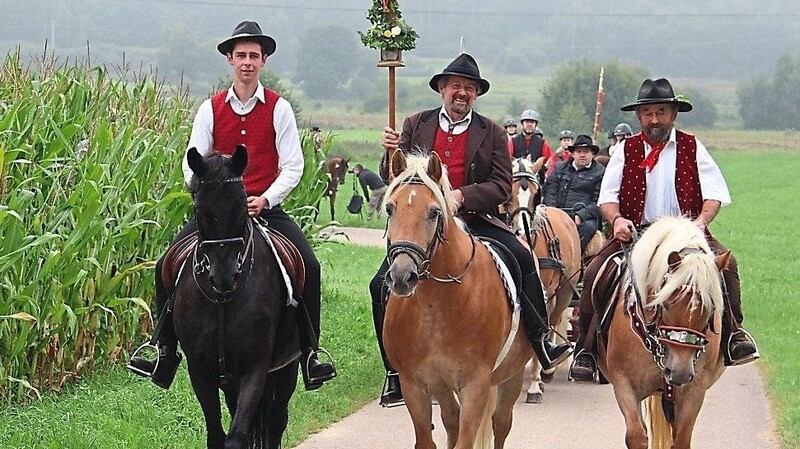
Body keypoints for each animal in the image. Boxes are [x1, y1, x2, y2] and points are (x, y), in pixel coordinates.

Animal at [175, 144, 300, 448]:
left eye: (243, 205)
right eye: (199, 208)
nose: (224, 277)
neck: (222, 301)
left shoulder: (255, 368)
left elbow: (237, 436)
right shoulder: (199, 370)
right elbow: (216, 435)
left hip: (286, 369)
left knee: (276, 422)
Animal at [384, 150, 536, 448]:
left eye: (434, 212)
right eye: (390, 209)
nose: (401, 276)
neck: (434, 307)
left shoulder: (475, 385)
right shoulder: (414, 386)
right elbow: (427, 439)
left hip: (510, 376)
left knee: (501, 423)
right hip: (443, 387)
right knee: (451, 420)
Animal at [506, 158, 580, 402]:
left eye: (535, 194)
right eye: (508, 193)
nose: (521, 231)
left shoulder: (544, 291)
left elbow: (541, 327)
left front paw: (534, 384)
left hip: (565, 292)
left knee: (554, 320)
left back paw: (547, 371)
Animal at [600, 215, 732, 446]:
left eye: (710, 309)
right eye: (667, 304)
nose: (679, 371)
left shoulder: (694, 390)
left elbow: (681, 441)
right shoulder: (623, 383)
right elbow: (636, 436)